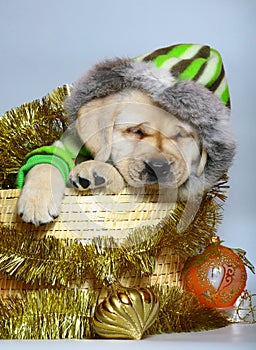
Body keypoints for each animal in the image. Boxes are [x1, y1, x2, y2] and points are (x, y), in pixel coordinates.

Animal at [17, 89, 206, 227]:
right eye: (136, 131)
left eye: (181, 135)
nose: (159, 167)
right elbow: (47, 164)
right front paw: (37, 200)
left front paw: (97, 172)